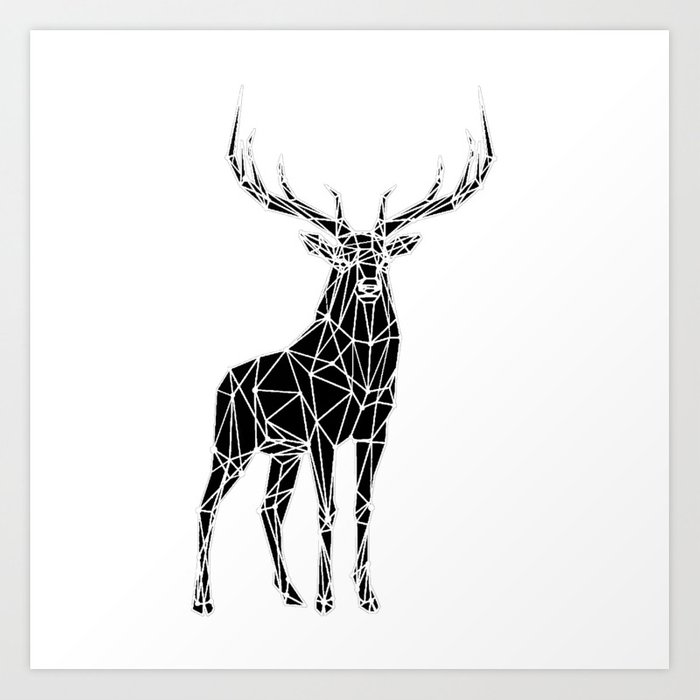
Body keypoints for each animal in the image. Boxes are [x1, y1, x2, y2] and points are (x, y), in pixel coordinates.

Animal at [193, 87, 495, 616]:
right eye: (344, 256)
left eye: (383, 254)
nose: (369, 280)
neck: (364, 374)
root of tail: (223, 382)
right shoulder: (322, 432)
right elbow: (327, 508)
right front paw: (327, 600)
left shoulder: (374, 430)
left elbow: (363, 506)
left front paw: (367, 597)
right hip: (232, 442)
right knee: (208, 503)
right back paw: (205, 600)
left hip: (280, 451)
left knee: (269, 506)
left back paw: (288, 593)